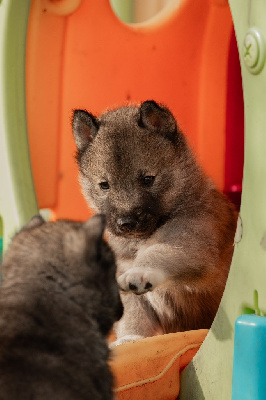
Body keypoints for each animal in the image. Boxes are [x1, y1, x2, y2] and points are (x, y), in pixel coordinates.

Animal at [72, 99, 237, 344]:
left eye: (148, 179)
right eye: (104, 185)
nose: (126, 222)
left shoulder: (189, 244)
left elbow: (157, 252)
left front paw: (142, 271)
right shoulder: (130, 291)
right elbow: (134, 319)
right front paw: (130, 338)